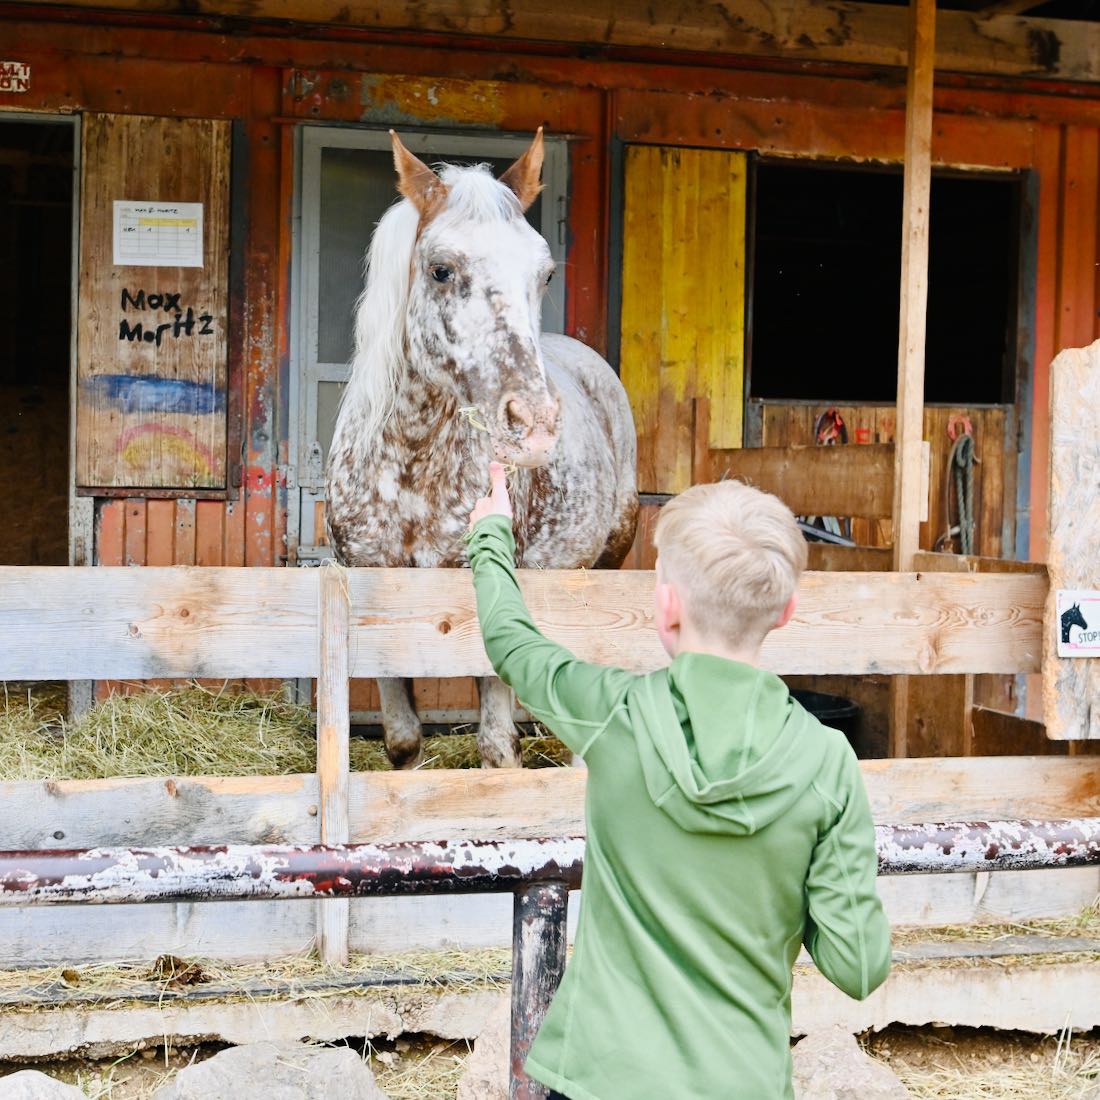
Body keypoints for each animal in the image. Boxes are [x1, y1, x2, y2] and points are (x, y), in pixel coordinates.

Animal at [326, 129, 639, 769]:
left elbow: (496, 746)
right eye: (441, 270)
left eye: (545, 274)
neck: (412, 473)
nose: (535, 423)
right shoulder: (376, 590)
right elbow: (402, 737)